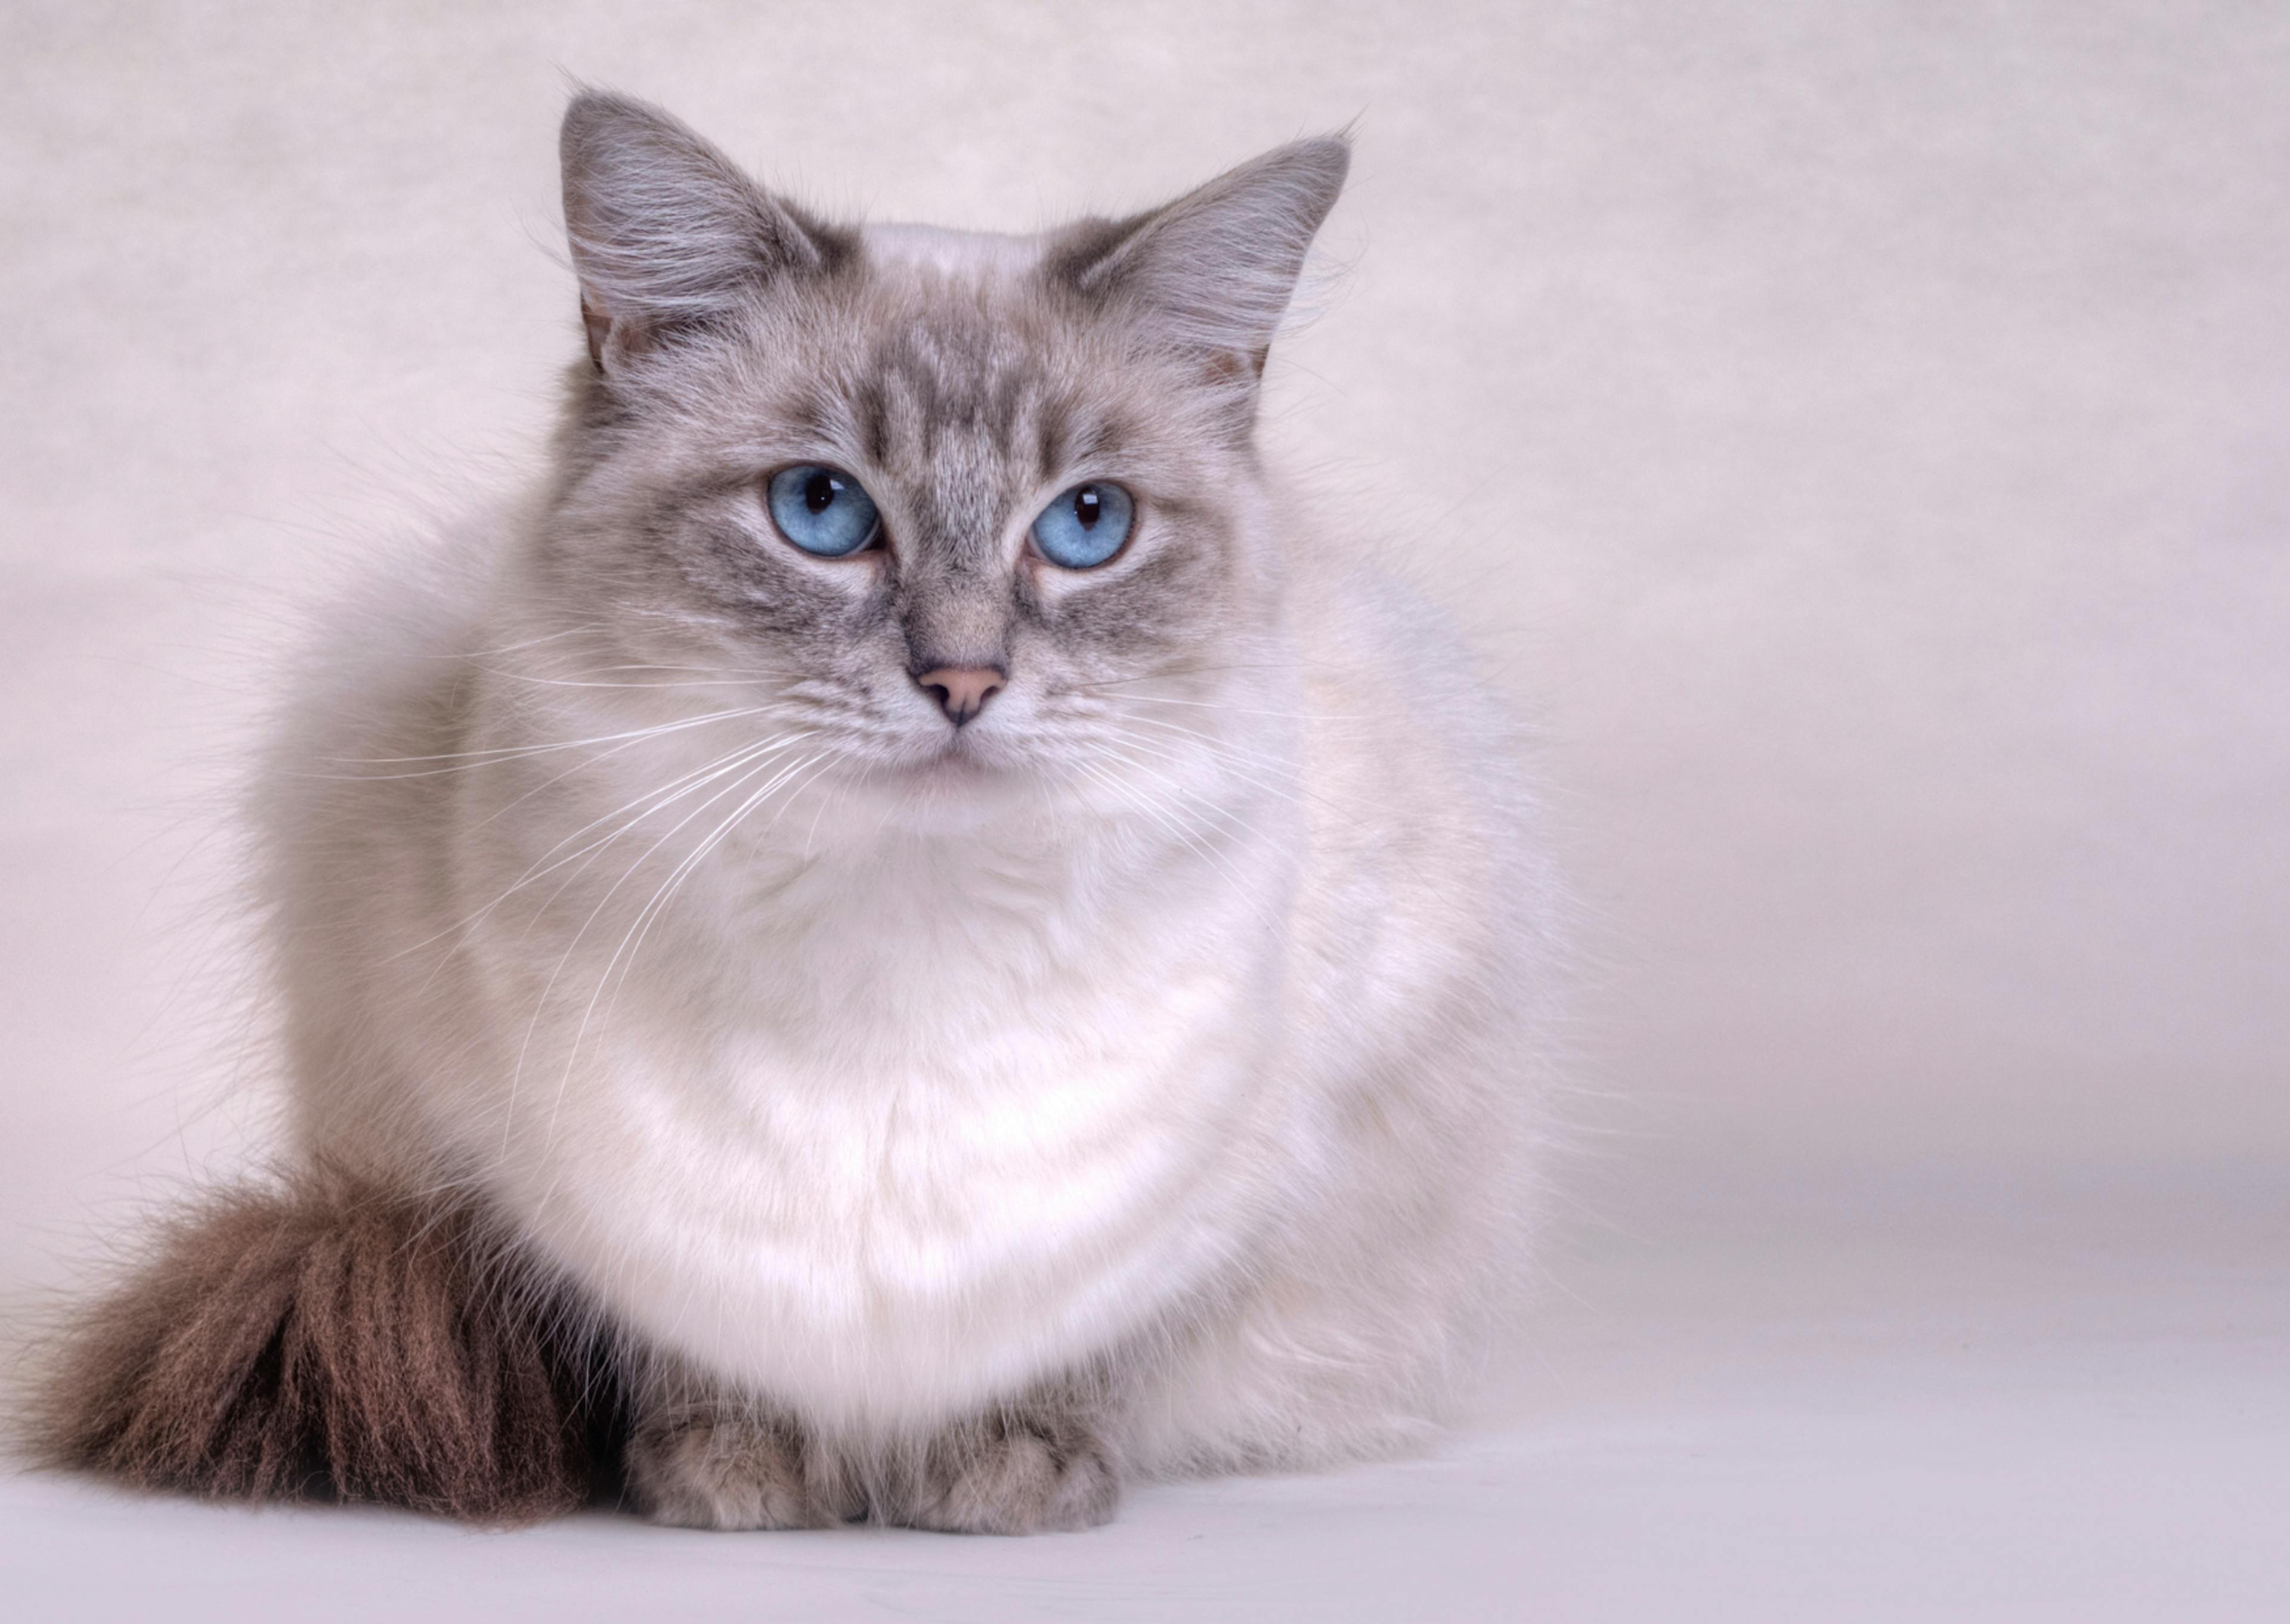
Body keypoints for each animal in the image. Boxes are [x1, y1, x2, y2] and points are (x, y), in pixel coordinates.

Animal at [31, 88, 1575, 1530]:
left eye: (1086, 528)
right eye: (822, 510)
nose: (964, 680)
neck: (901, 938)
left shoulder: (1264, 1150)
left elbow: (1072, 1336)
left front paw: (1006, 1477)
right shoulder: (515, 1149)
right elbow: (689, 1341)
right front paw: (734, 1473)